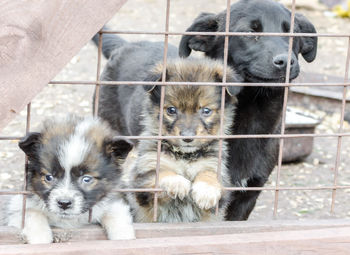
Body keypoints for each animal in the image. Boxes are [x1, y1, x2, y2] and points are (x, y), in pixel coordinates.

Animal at [7, 115, 135, 243]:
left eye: (86, 179)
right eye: (49, 177)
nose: (64, 203)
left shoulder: (113, 201)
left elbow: (116, 214)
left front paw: (124, 238)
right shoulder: (18, 206)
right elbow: (31, 212)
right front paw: (40, 238)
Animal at [124, 58, 242, 222]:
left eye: (206, 111)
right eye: (171, 110)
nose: (187, 137)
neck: (185, 156)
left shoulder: (216, 170)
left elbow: (209, 174)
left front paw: (206, 190)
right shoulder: (140, 181)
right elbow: (160, 173)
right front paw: (178, 183)